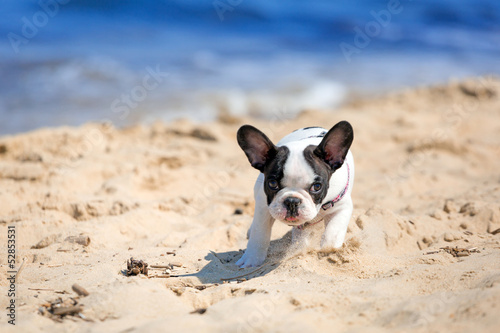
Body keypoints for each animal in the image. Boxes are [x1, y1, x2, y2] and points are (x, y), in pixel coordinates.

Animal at [236, 122, 354, 268]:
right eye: (272, 183)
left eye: (317, 187)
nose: (292, 201)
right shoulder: (263, 206)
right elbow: (259, 234)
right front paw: (251, 259)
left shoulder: (342, 206)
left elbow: (332, 235)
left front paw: (328, 251)